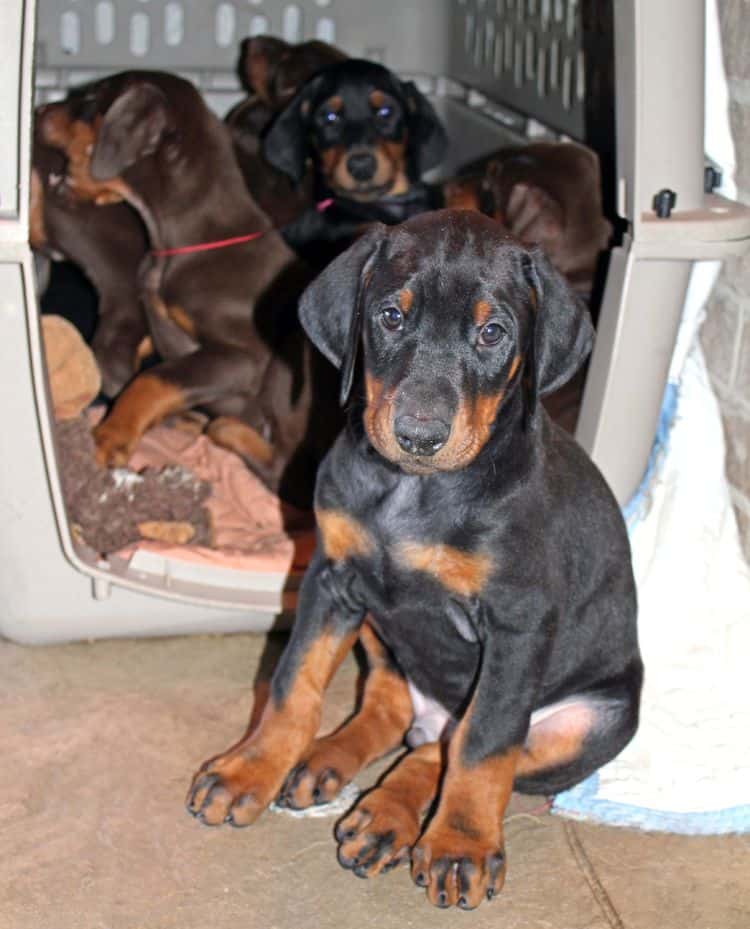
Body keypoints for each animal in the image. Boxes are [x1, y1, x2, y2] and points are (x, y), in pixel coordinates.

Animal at [36, 70, 340, 508]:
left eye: (91, 97)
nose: (39, 109)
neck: (177, 243)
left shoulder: (245, 356)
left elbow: (156, 378)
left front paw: (112, 433)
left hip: (293, 362)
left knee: (286, 472)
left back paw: (224, 429)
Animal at [189, 208, 648, 908]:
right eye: (390, 316)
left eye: (492, 332)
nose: (419, 436)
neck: (414, 491)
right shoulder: (331, 578)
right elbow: (293, 684)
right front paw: (250, 769)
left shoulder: (517, 623)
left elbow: (485, 742)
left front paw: (460, 844)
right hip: (378, 626)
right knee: (392, 703)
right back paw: (325, 761)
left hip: (597, 721)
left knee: (454, 746)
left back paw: (388, 815)